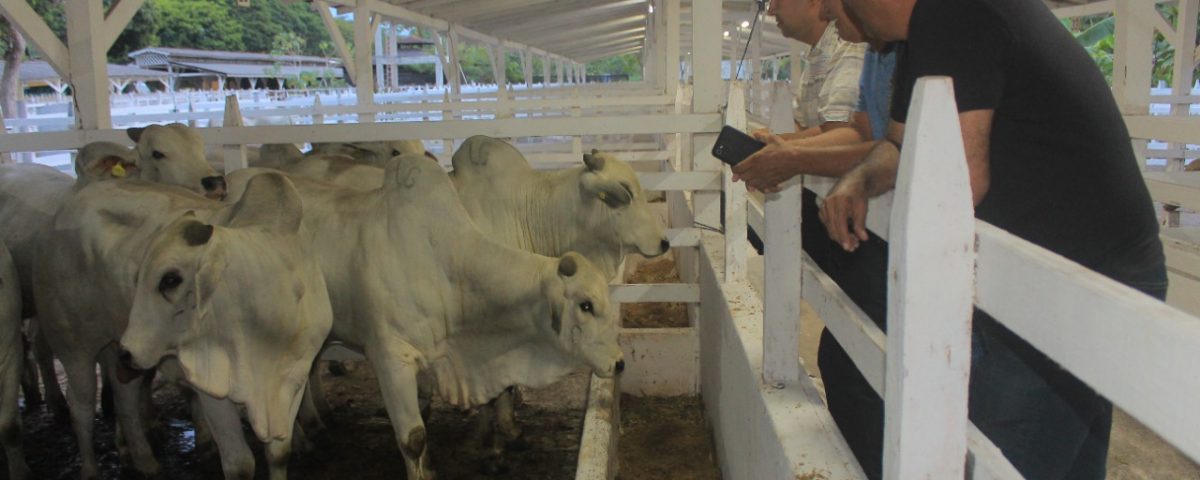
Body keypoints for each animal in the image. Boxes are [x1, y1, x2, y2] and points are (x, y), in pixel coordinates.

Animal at [35, 174, 331, 480]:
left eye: (170, 279)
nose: (129, 351)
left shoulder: (293, 377)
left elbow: (278, 453)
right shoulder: (213, 389)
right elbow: (240, 465)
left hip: (119, 350)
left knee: (125, 400)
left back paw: (146, 462)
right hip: (73, 345)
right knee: (80, 407)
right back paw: (92, 468)